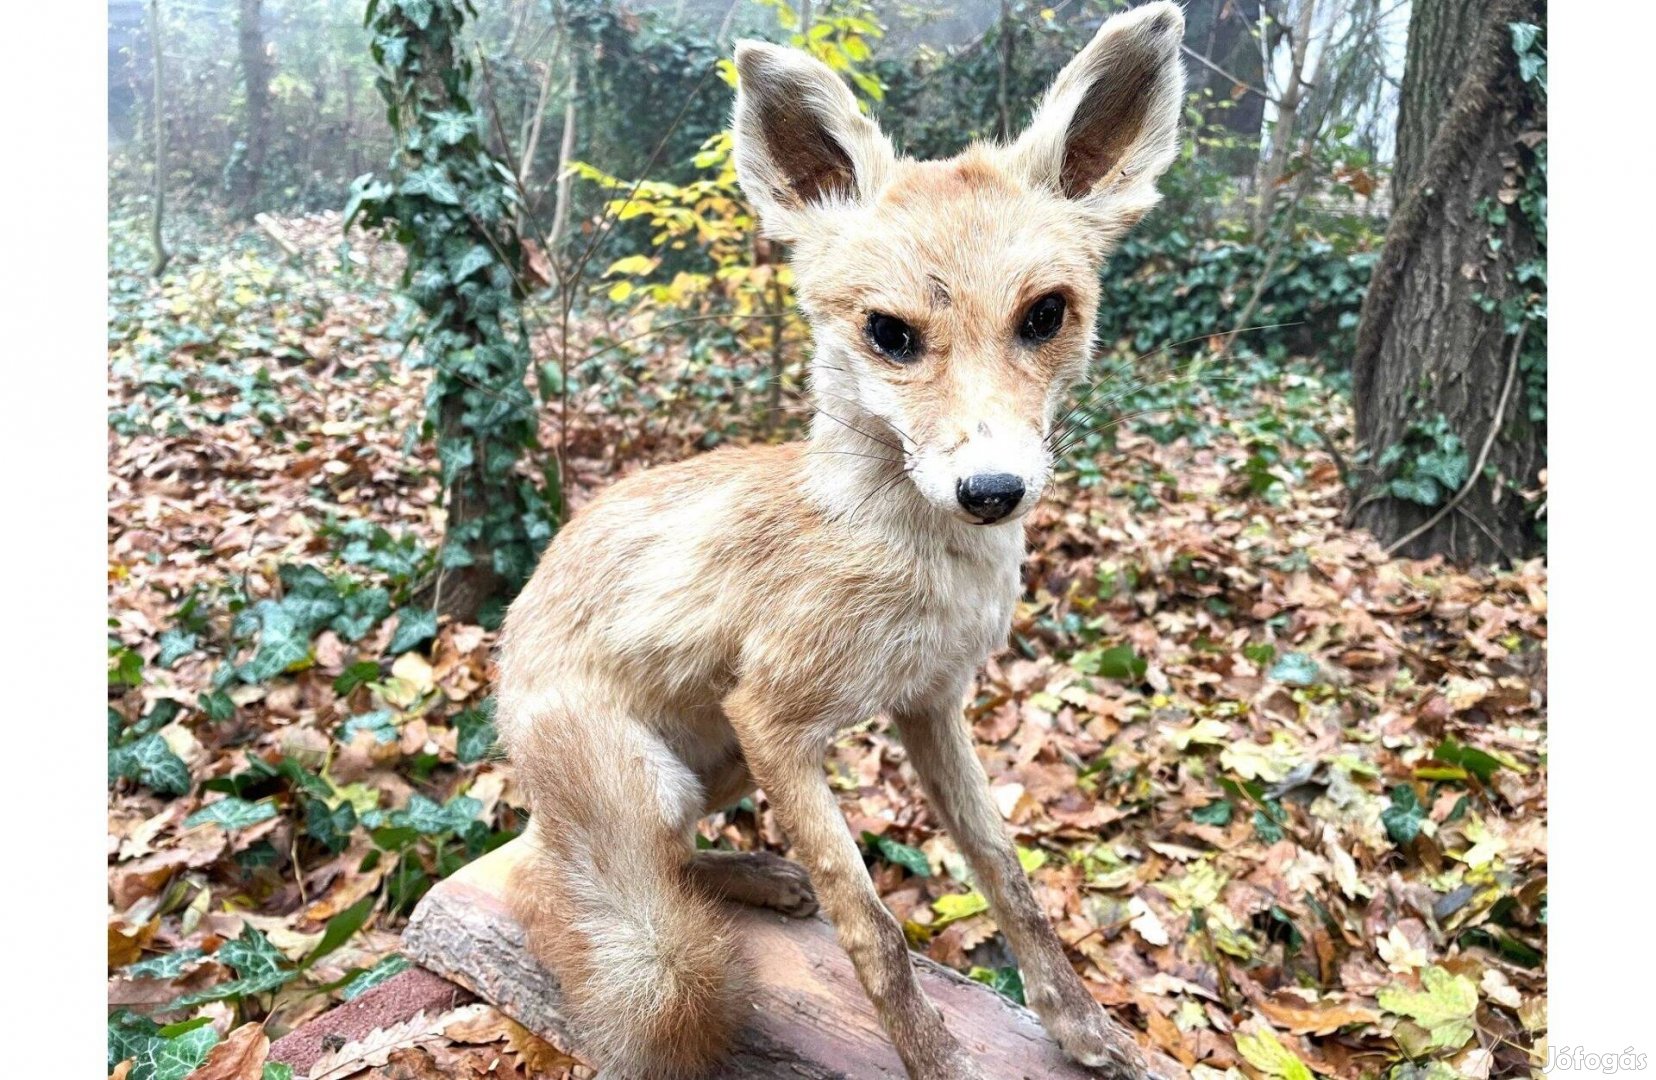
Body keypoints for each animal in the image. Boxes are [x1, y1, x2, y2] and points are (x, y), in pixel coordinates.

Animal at [496, 4, 1185, 1073]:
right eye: (890, 334)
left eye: (1044, 315)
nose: (992, 490)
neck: (922, 570)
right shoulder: (776, 718)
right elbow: (875, 930)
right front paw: (934, 1060)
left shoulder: (931, 704)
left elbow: (1010, 878)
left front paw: (1080, 1026)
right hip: (659, 778)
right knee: (572, 876)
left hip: (719, 762)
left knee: (665, 862)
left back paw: (755, 876)